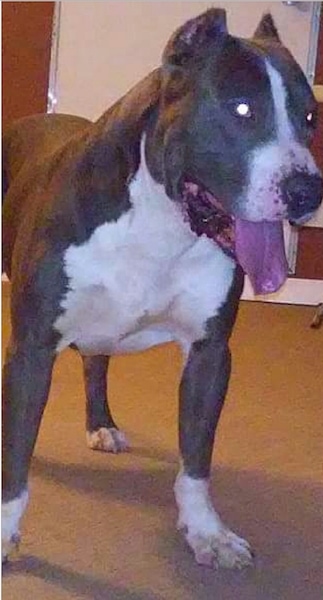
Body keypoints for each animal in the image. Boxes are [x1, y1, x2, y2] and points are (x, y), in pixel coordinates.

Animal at [1, 9, 322, 568]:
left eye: (310, 118)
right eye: (242, 108)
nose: (307, 189)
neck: (161, 220)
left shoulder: (210, 352)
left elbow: (196, 456)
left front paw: (206, 531)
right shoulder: (33, 347)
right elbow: (16, 456)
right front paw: (3, 531)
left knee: (96, 359)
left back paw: (102, 422)